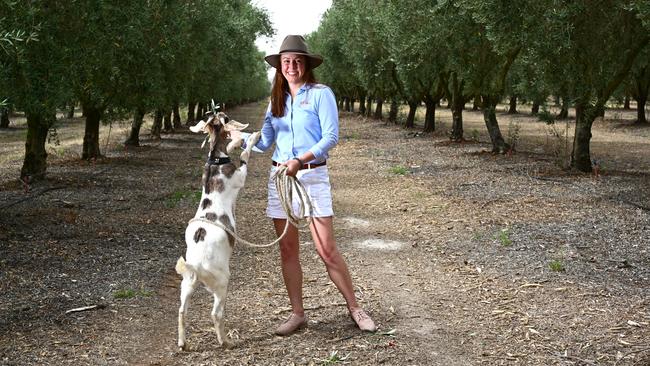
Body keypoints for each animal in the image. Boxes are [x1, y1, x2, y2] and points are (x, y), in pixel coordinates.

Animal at [177, 110, 260, 350]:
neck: (215, 159)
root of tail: (196, 266)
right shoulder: (239, 176)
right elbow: (245, 156)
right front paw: (251, 139)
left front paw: (238, 141)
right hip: (222, 283)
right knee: (216, 314)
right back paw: (225, 341)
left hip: (186, 285)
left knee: (182, 312)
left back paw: (182, 343)